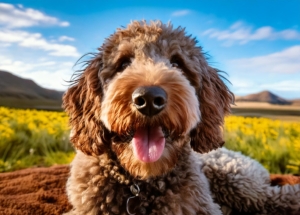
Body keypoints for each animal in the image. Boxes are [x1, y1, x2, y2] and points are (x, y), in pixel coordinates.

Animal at [63, 20, 300, 215]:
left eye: (177, 63)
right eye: (123, 64)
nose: (149, 98)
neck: (140, 184)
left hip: (238, 181)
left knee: (277, 197)